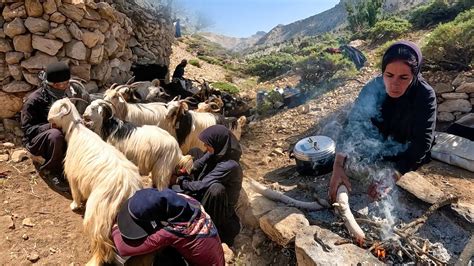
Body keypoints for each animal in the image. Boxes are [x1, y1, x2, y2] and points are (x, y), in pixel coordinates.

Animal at [46, 98, 143, 266]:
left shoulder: (73, 176)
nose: (48, 119)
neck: (76, 131)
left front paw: (74, 205)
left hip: (99, 211)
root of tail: (129, 189)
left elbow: (75, 193)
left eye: (55, 108)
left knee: (102, 243)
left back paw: (94, 261)